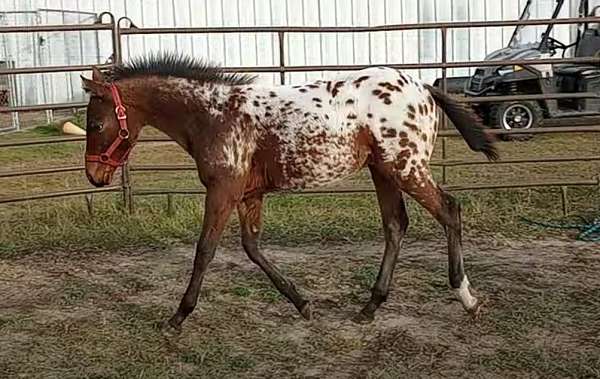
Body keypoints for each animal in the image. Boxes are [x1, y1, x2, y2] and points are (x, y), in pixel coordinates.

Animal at [82, 52, 500, 332]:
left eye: (95, 123)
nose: (94, 176)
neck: (215, 115)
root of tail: (423, 88)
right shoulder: (248, 195)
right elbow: (252, 249)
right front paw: (302, 304)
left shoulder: (223, 191)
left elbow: (204, 251)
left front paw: (177, 317)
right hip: (383, 171)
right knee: (396, 225)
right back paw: (370, 307)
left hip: (405, 167)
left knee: (449, 210)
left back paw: (467, 298)